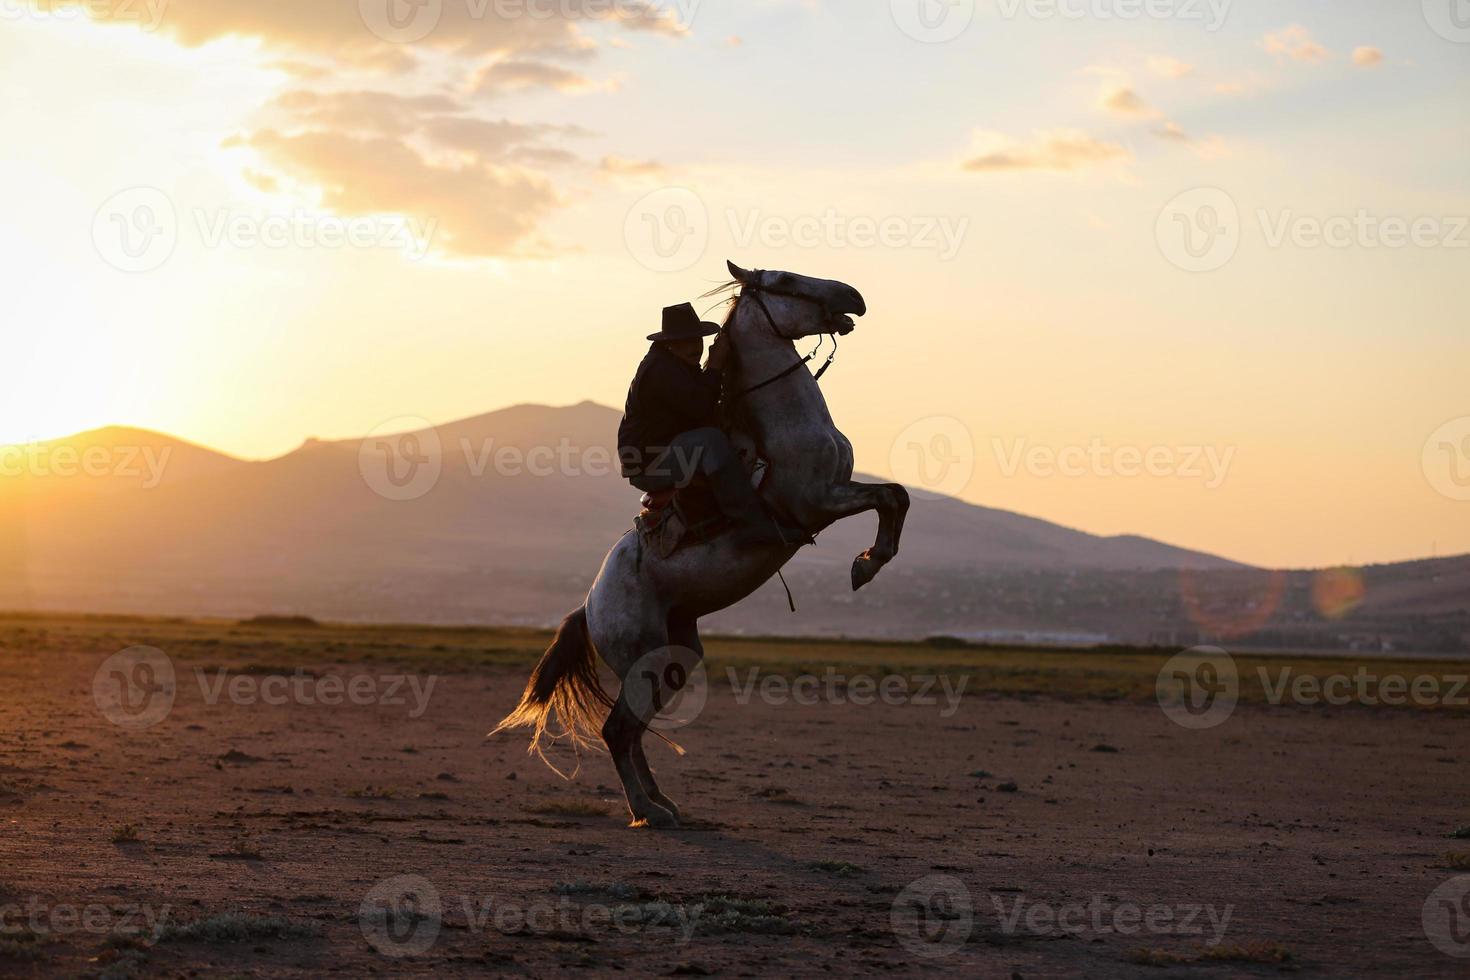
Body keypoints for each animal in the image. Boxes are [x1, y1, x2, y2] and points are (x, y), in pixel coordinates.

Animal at [493, 260, 905, 828]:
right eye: (786, 281)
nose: (854, 297)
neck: (785, 422)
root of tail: (590, 604)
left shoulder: (836, 493)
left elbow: (895, 497)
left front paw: (868, 563)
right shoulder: (819, 501)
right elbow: (891, 497)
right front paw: (866, 565)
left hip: (674, 659)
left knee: (633, 731)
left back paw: (661, 803)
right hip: (642, 659)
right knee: (617, 730)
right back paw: (648, 810)